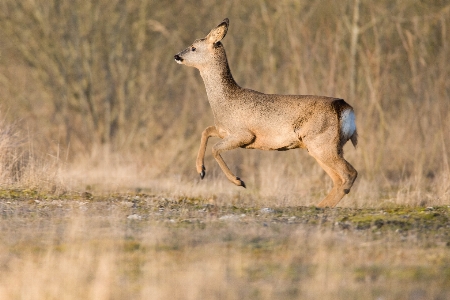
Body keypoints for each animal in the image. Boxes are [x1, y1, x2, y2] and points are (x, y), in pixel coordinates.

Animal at [173, 18, 358, 206]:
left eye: (194, 47)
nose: (177, 56)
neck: (225, 101)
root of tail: (345, 109)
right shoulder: (224, 130)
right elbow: (206, 131)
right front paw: (201, 170)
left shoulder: (244, 134)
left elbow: (215, 148)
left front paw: (238, 181)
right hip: (322, 146)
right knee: (339, 178)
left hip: (322, 143)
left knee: (349, 174)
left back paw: (320, 207)